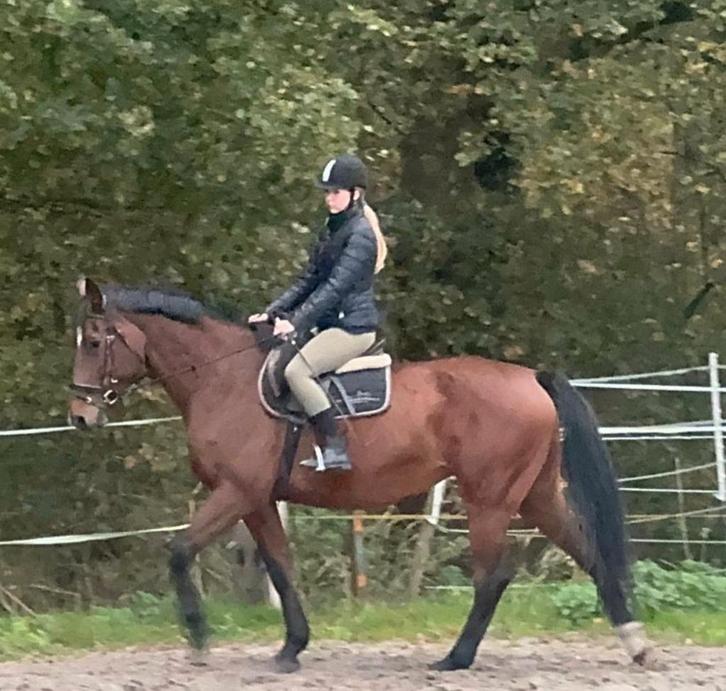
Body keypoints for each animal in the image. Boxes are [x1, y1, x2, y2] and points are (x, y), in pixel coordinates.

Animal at [68, 278, 653, 674]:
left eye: (94, 342)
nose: (80, 417)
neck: (223, 379)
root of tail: (529, 376)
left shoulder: (236, 493)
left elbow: (178, 551)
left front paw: (198, 640)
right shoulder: (258, 500)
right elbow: (281, 566)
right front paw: (291, 648)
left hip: (489, 498)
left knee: (494, 575)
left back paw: (456, 658)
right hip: (536, 495)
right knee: (590, 554)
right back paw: (635, 641)